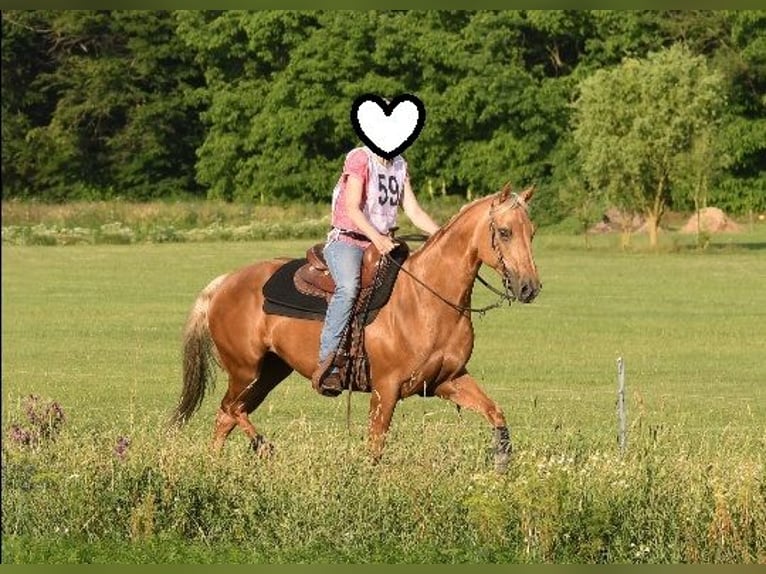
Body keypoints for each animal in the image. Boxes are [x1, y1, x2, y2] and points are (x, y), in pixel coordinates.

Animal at [173, 183, 541, 471]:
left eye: (532, 232)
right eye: (505, 232)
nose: (529, 288)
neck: (426, 299)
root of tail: (223, 283)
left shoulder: (447, 380)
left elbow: (495, 412)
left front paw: (502, 462)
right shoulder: (385, 389)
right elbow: (375, 447)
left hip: (270, 372)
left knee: (225, 416)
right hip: (245, 370)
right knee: (231, 409)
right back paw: (263, 447)